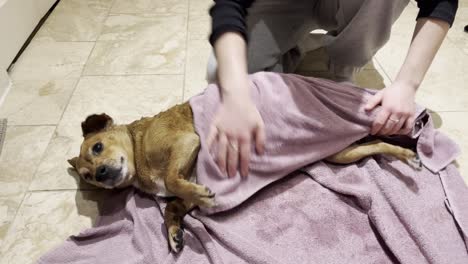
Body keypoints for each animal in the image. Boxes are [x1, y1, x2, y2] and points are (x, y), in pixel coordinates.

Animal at [66, 102, 416, 253]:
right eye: (87, 176)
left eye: (97, 147)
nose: (100, 173)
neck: (138, 151)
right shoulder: (190, 184)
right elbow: (172, 206)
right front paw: (175, 232)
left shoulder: (187, 142)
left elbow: (174, 179)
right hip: (341, 153)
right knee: (375, 145)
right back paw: (405, 154)